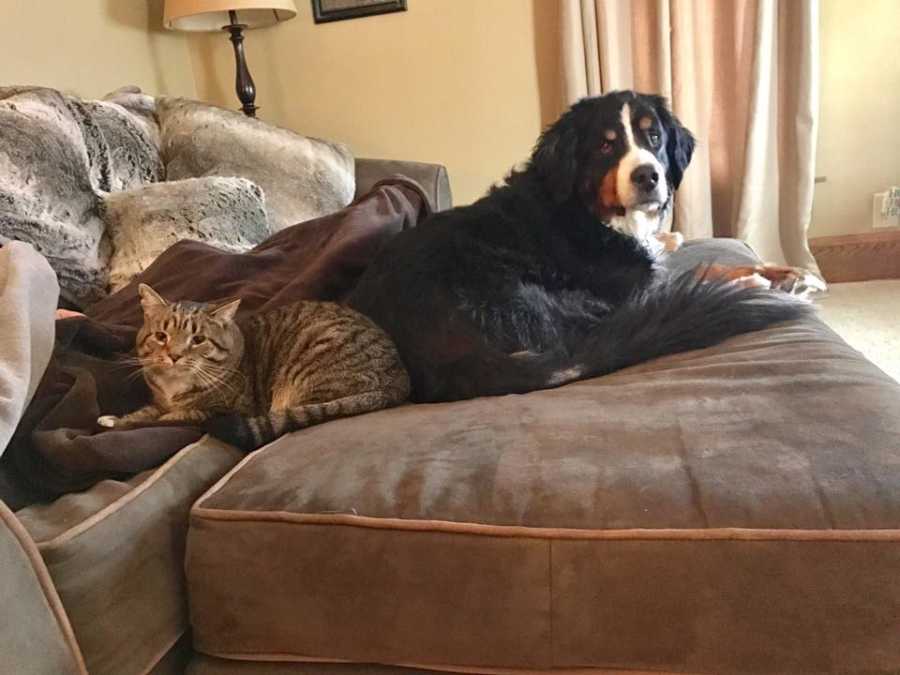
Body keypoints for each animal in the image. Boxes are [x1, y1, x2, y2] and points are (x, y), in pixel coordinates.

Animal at [96, 282, 410, 452]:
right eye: (161, 336)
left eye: (198, 340)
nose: (174, 355)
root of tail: (399, 381)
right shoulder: (160, 401)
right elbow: (146, 412)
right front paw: (116, 418)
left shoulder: (215, 410)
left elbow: (159, 419)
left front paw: (118, 424)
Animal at [350, 92, 816, 404]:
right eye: (606, 144)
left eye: (654, 137)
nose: (648, 176)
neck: (588, 209)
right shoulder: (631, 286)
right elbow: (695, 274)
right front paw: (759, 278)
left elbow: (697, 262)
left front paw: (788, 271)